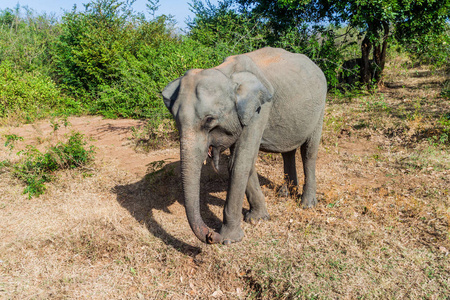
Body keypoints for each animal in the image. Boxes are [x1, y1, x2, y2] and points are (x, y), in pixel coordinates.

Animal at [163, 46, 326, 244]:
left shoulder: (259, 110)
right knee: (287, 150)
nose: (210, 235)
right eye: (176, 120)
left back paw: (306, 204)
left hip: (321, 106)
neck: (228, 74)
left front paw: (228, 239)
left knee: (309, 152)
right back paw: (286, 193)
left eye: (209, 120)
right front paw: (258, 218)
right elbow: (242, 162)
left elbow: (239, 163)